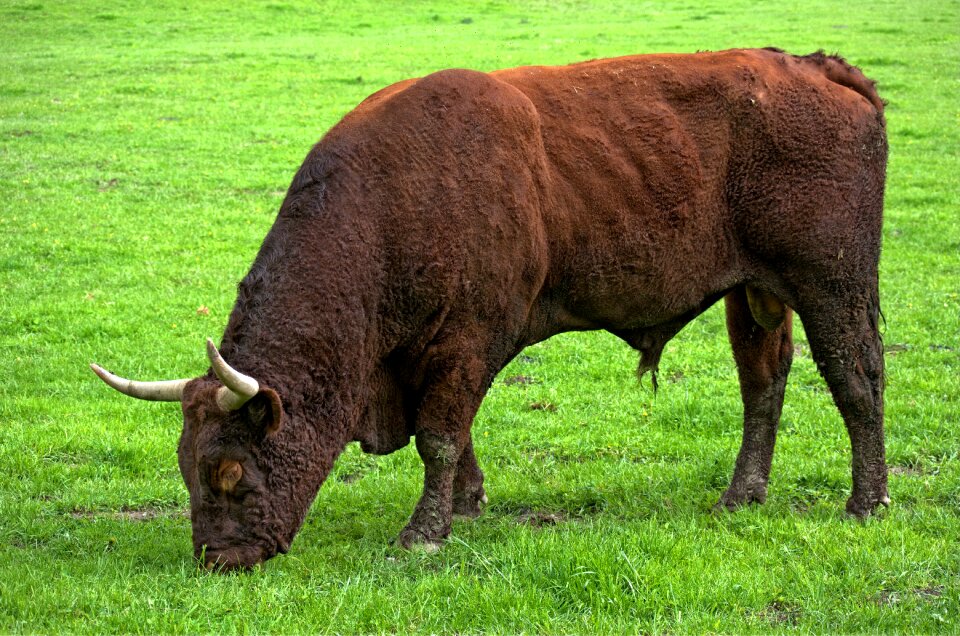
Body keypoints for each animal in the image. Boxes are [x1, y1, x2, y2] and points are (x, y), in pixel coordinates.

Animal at [94, 47, 888, 568]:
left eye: (230, 473)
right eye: (186, 470)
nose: (216, 558)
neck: (394, 201)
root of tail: (818, 67)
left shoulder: (467, 340)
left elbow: (439, 436)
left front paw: (425, 532)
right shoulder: (435, 356)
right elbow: (454, 431)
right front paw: (468, 502)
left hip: (833, 285)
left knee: (857, 380)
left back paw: (867, 501)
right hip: (755, 295)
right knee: (764, 384)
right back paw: (741, 495)